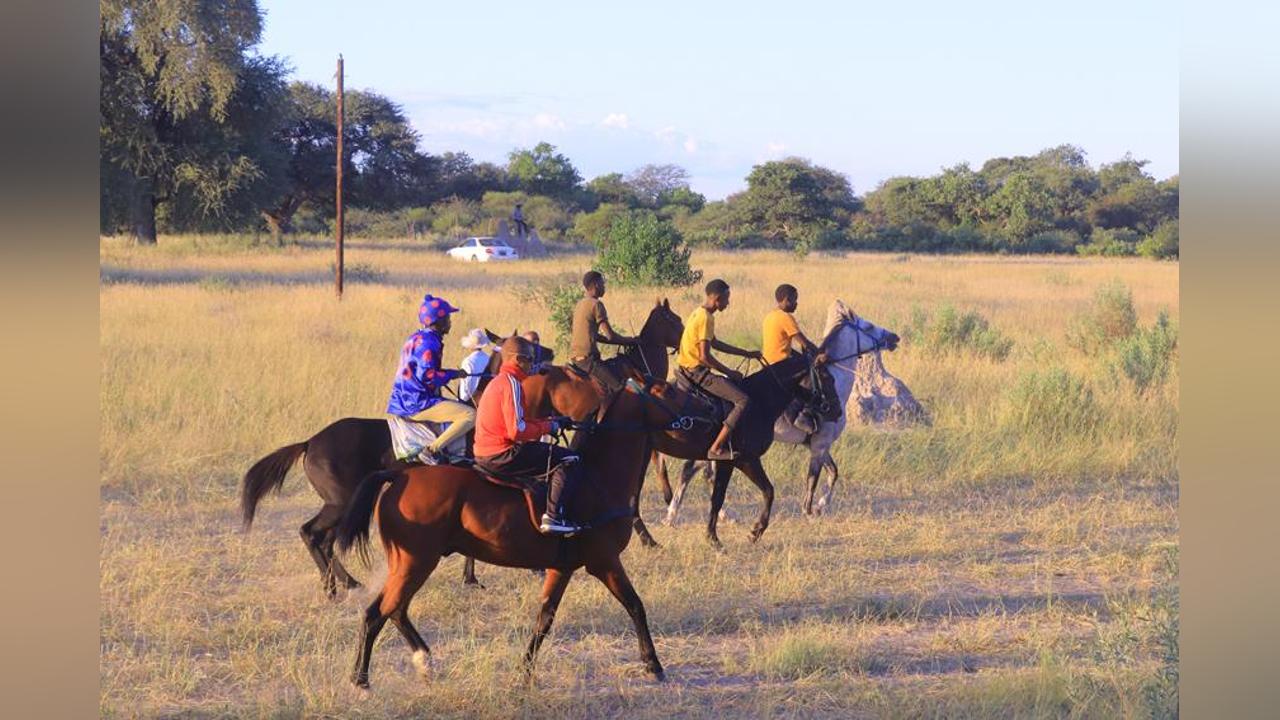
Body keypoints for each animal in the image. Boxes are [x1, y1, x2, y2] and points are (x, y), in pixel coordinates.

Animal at [330, 363, 675, 681]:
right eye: (666, 391)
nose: (694, 412)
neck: (596, 476)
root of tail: (399, 475)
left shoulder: (562, 568)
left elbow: (545, 617)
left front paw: (526, 670)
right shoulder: (604, 561)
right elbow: (635, 605)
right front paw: (653, 665)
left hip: (406, 563)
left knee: (392, 610)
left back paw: (419, 660)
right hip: (415, 562)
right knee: (382, 611)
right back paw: (363, 678)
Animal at [660, 299, 901, 525]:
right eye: (868, 326)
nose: (894, 338)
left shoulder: (818, 445)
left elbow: (833, 472)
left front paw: (821, 506)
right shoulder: (819, 445)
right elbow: (813, 479)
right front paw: (810, 511)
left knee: (700, 472)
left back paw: (709, 514)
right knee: (691, 469)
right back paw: (674, 515)